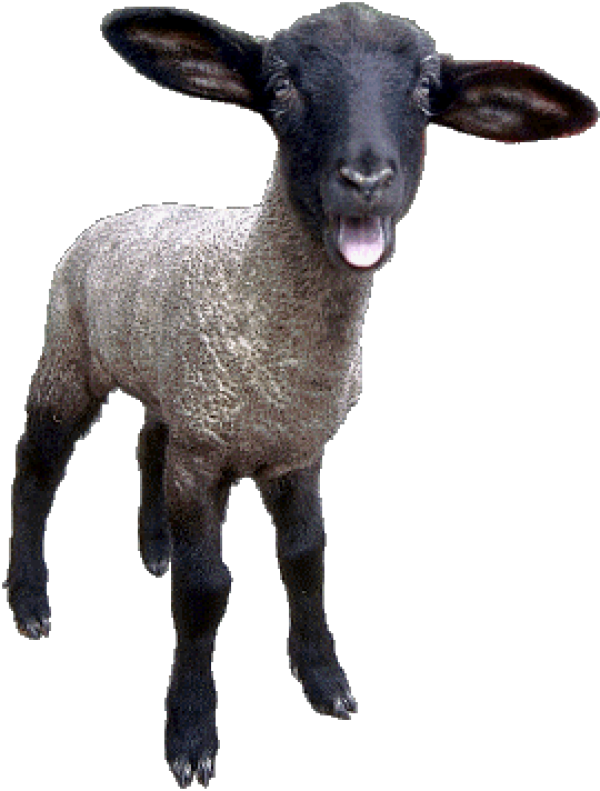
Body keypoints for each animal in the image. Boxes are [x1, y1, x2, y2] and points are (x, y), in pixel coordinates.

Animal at [7, 3, 596, 787]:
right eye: (282, 85)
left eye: (424, 90)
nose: (365, 178)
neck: (261, 295)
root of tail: (123, 214)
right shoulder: (206, 455)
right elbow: (205, 590)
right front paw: (190, 733)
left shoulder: (294, 449)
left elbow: (308, 557)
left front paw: (324, 679)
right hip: (71, 354)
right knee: (37, 464)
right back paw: (29, 599)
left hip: (169, 379)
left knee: (147, 439)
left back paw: (154, 545)